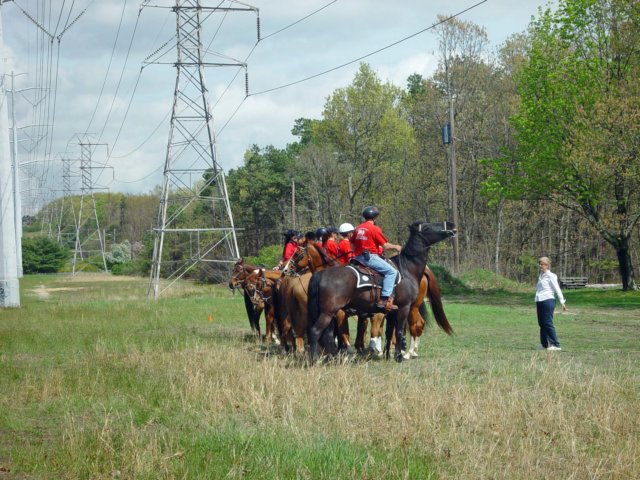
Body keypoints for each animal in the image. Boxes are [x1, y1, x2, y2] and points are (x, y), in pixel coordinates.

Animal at [308, 223, 456, 362]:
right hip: (328, 312)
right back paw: (315, 360)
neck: (406, 269)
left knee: (326, 335)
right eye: (428, 227)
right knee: (316, 332)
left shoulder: (390, 311)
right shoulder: (403, 307)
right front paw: (398, 356)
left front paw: (387, 354)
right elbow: (398, 331)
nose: (451, 225)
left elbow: (389, 332)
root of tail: (321, 274)